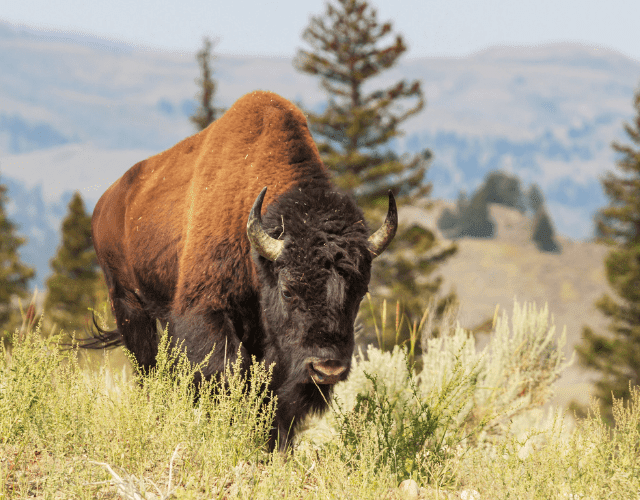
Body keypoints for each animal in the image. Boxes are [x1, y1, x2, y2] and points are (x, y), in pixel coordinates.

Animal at [88, 90, 397, 449]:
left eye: (360, 292)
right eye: (288, 289)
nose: (327, 368)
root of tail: (107, 203)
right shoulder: (205, 311)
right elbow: (230, 371)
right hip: (128, 304)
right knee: (148, 368)